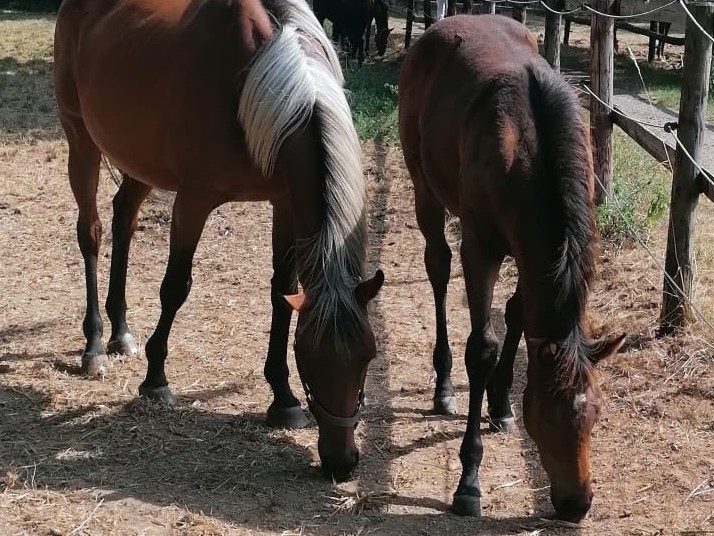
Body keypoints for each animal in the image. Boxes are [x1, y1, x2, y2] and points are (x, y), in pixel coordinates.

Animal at [54, 0, 384, 482]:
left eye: (367, 357)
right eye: (309, 357)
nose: (342, 463)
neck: (255, 77)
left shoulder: (284, 201)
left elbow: (281, 292)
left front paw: (283, 399)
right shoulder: (194, 200)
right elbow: (175, 288)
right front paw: (156, 380)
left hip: (139, 160)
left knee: (124, 217)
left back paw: (121, 333)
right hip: (80, 138)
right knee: (92, 233)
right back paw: (95, 344)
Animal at [399, 15, 625, 522]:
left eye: (597, 413)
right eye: (546, 417)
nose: (577, 504)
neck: (527, 144)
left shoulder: (531, 255)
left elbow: (518, 315)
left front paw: (501, 403)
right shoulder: (481, 249)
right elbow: (482, 347)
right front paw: (468, 480)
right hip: (424, 188)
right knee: (437, 267)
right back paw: (443, 384)